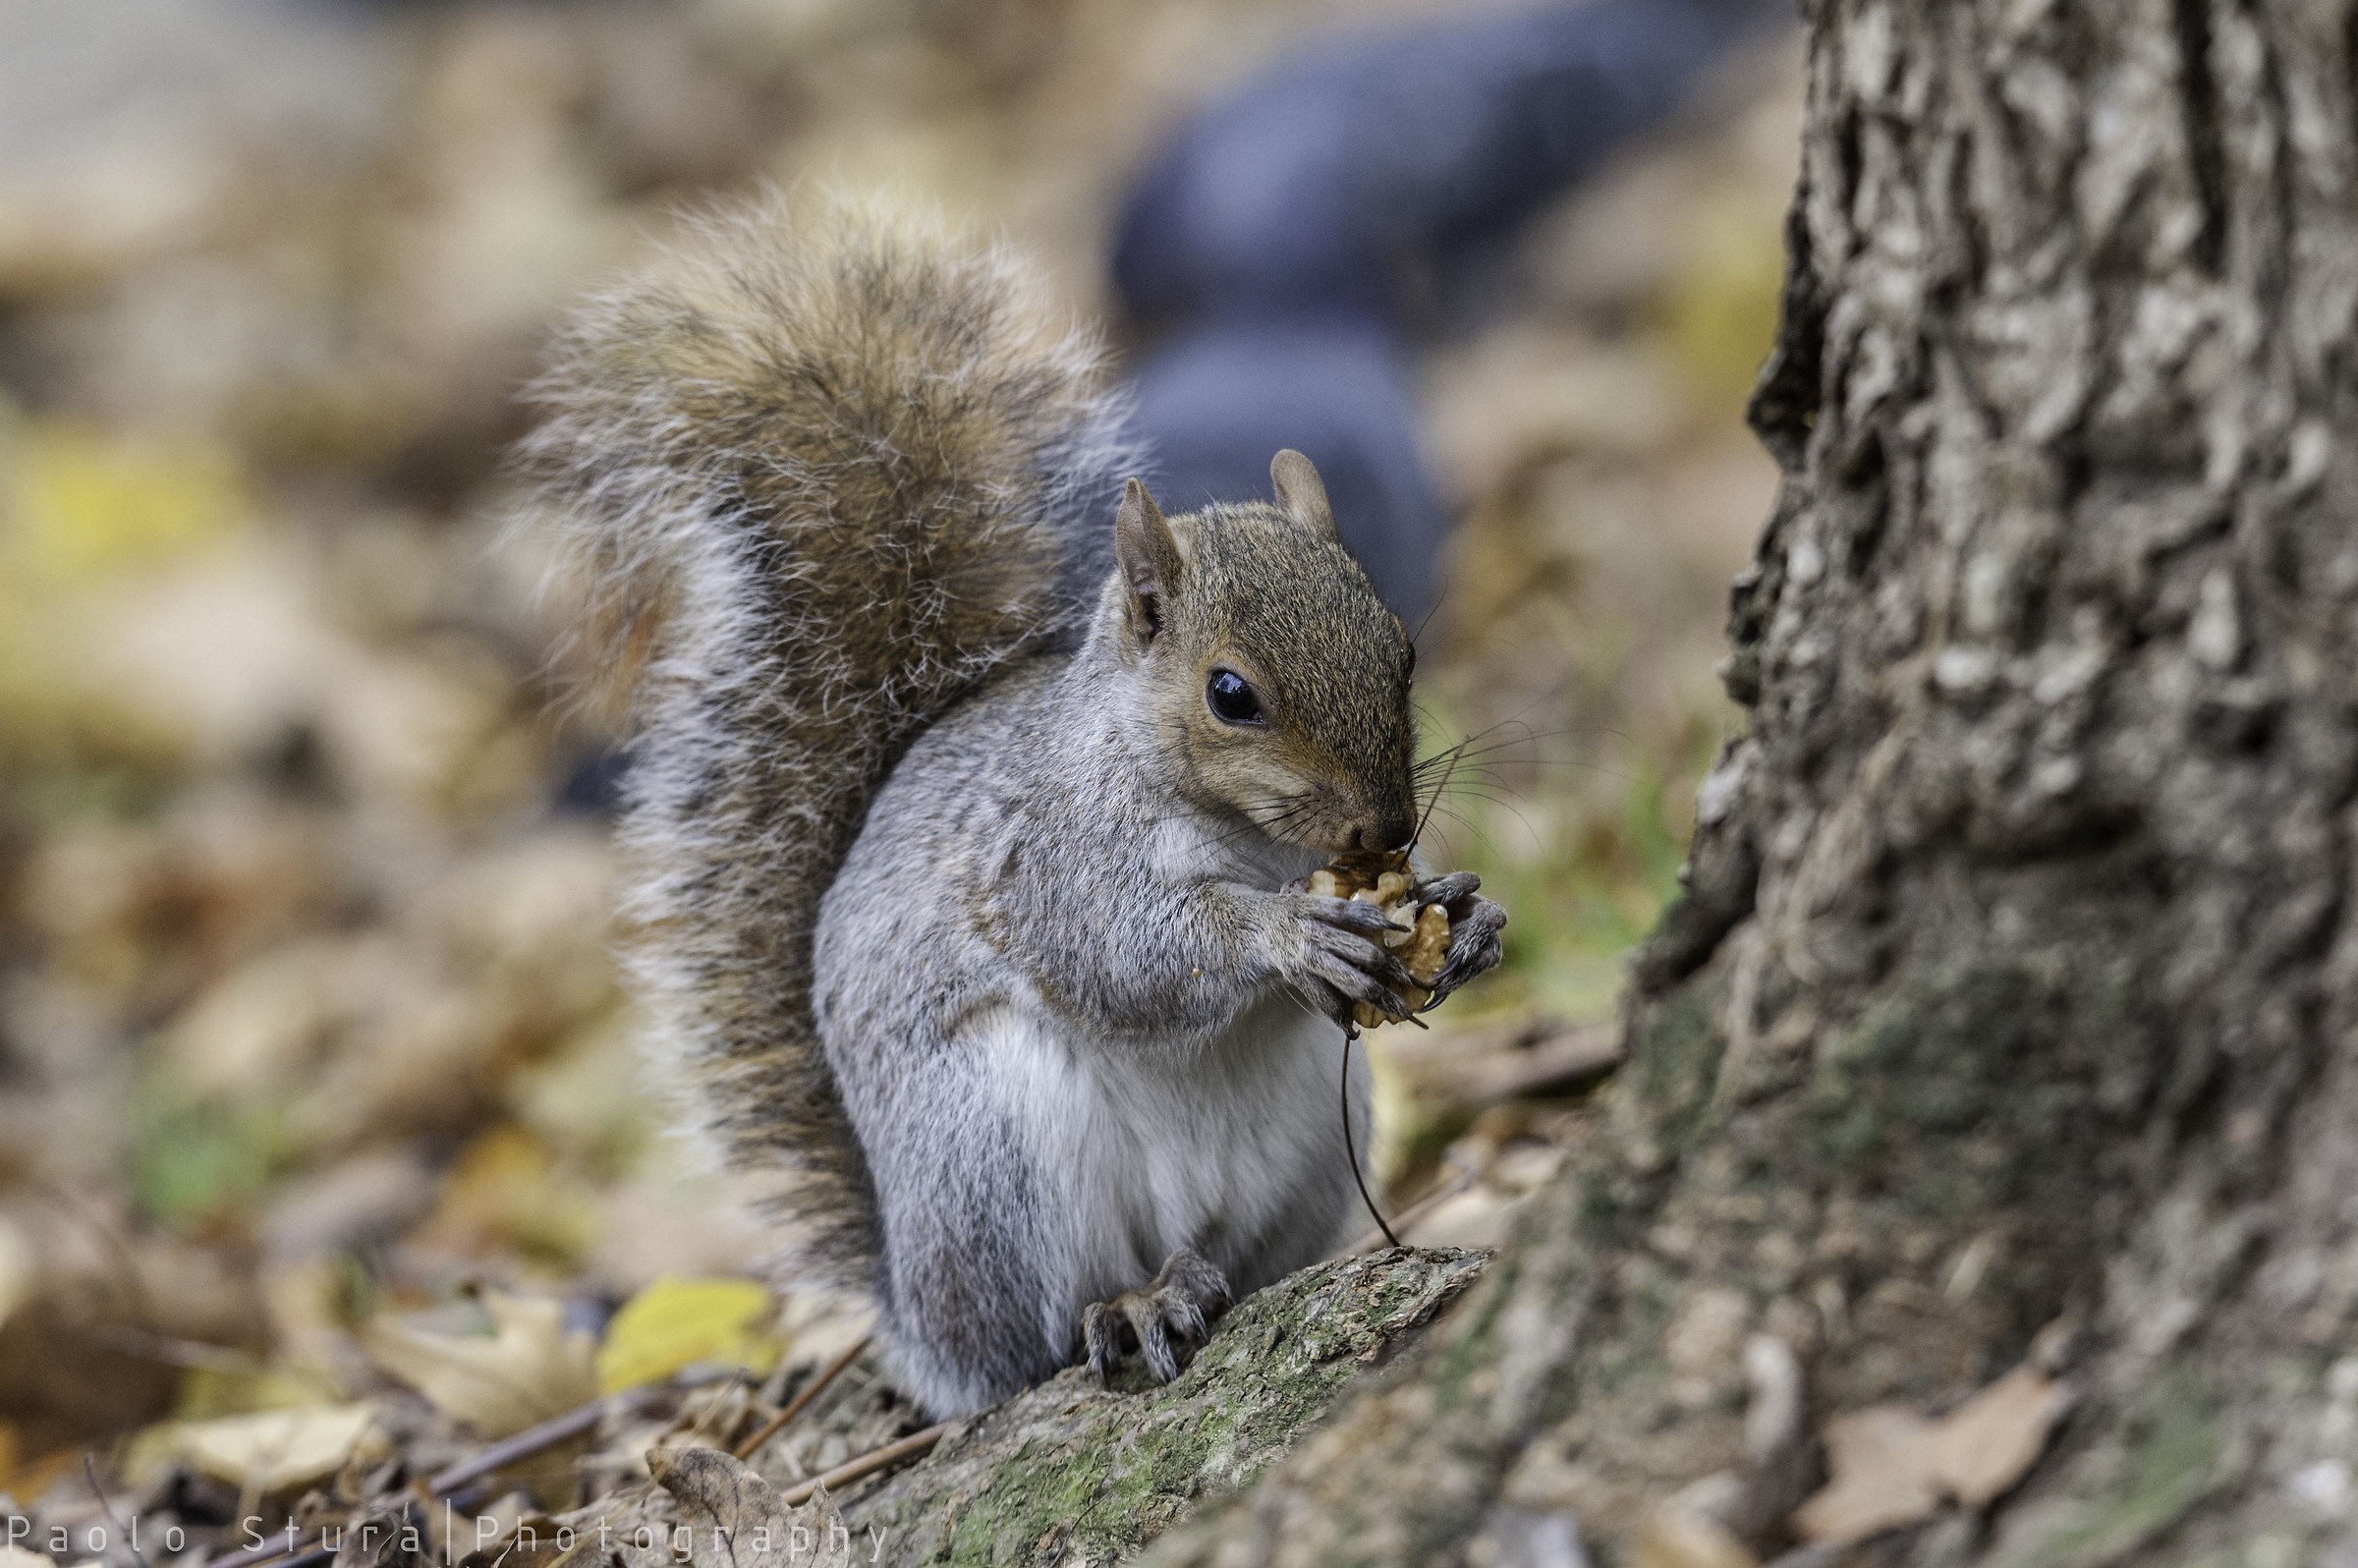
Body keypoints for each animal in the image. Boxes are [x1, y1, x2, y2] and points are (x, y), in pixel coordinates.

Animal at [518, 193, 1506, 1418]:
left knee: (1241, 1259)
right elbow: (1125, 957)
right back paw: (1129, 1307)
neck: (1250, 838)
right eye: (1231, 694)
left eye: (1401, 646)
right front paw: (1287, 935)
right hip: (991, 1154)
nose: (1387, 831)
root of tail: (920, 1324)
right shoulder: (1054, 853)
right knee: (1038, 1338)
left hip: (1319, 1151)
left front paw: (1464, 918)